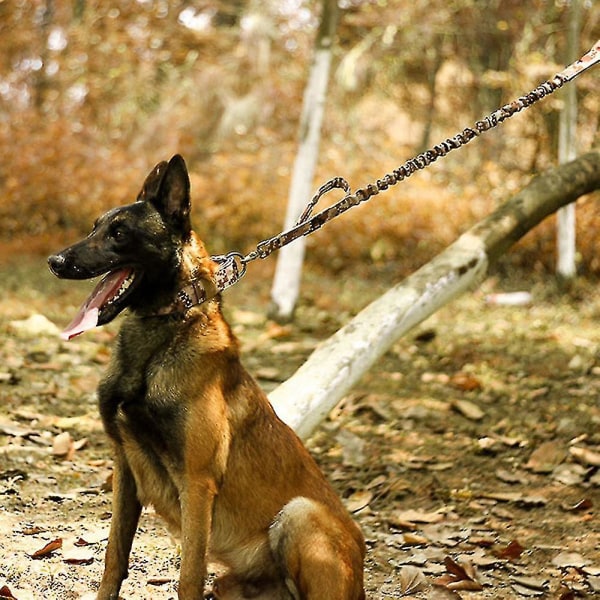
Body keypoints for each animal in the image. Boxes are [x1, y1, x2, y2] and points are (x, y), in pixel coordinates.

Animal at [48, 156, 366, 600]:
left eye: (119, 233)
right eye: (95, 226)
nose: (55, 262)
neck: (165, 330)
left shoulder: (197, 483)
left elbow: (188, 577)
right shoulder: (124, 468)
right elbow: (114, 555)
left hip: (299, 513)